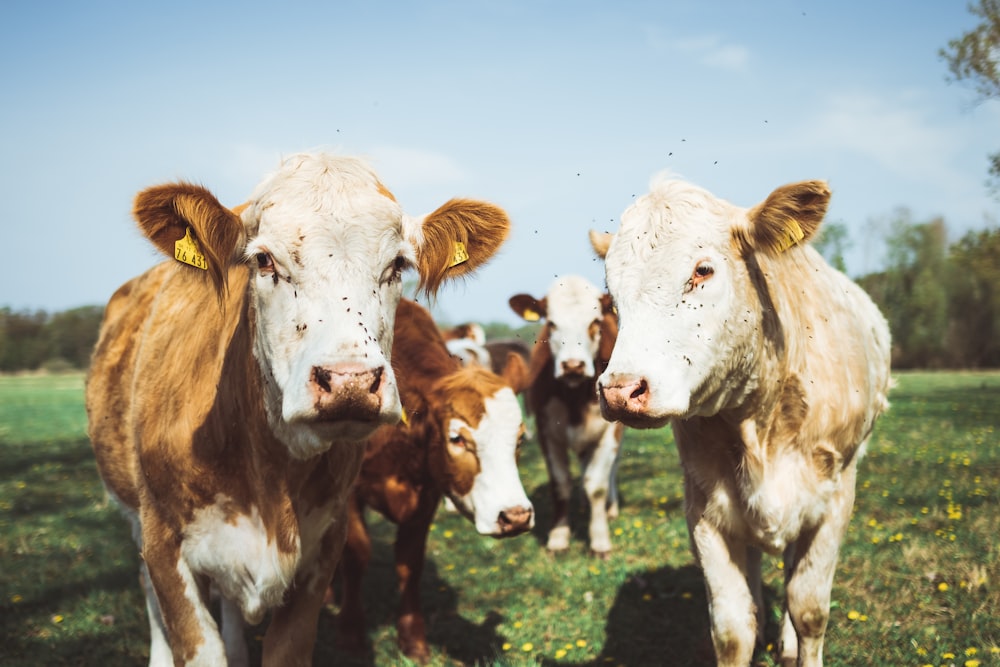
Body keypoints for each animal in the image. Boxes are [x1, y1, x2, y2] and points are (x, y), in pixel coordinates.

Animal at [83, 153, 512, 667]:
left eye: (398, 265)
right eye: (264, 260)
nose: (350, 382)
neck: (267, 479)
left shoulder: (322, 551)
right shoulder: (164, 546)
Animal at [336, 302, 536, 664]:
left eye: (520, 439)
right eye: (456, 438)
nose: (515, 516)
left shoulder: (427, 494)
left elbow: (410, 564)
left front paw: (413, 640)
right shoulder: (348, 493)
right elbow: (356, 555)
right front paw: (350, 633)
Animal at [512, 274, 620, 556]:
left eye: (595, 322)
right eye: (551, 323)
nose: (573, 366)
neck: (575, 399)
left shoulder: (610, 433)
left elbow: (597, 485)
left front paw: (599, 540)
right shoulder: (546, 432)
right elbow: (560, 485)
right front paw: (558, 537)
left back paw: (611, 507)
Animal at [584, 175, 892, 664]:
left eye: (703, 270)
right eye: (611, 293)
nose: (619, 390)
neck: (758, 420)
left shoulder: (835, 497)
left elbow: (809, 609)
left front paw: (797, 639)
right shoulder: (705, 506)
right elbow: (731, 627)